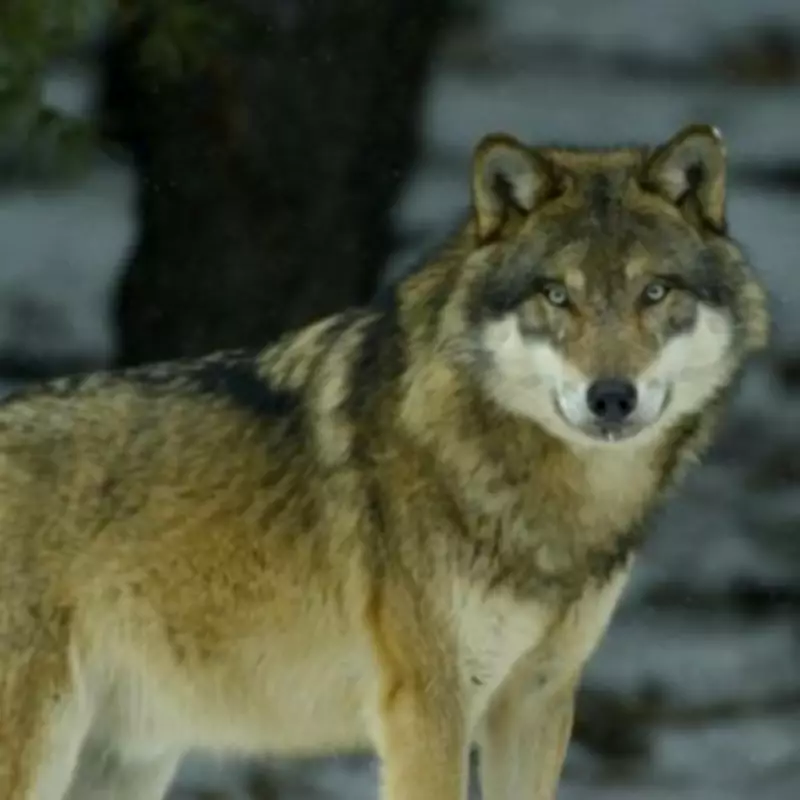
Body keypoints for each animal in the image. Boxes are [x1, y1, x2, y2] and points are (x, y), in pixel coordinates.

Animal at [0, 124, 768, 800]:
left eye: (655, 292)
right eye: (557, 295)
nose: (611, 397)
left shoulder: (537, 700)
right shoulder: (427, 707)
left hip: (127, 762)